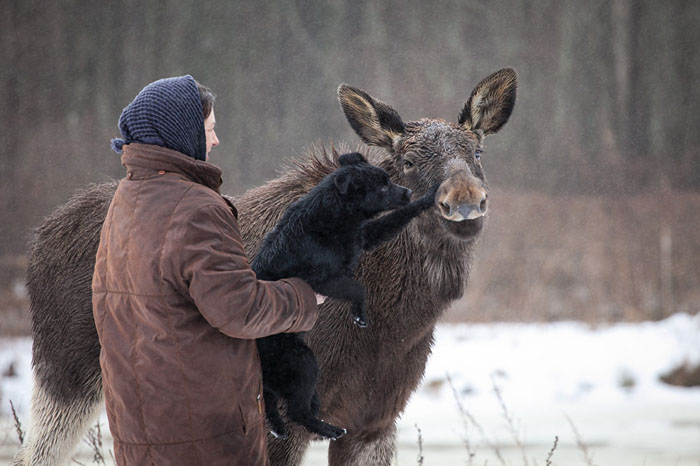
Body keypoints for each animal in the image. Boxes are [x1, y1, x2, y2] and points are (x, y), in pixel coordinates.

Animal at [252, 153, 438, 440]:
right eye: (382, 186)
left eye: (388, 180)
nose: (407, 192)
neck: (334, 215)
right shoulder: (322, 280)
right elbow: (358, 289)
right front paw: (359, 315)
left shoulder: (363, 236)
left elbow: (398, 217)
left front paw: (429, 196)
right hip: (302, 362)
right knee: (298, 411)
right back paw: (329, 429)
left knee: (273, 402)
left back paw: (279, 428)